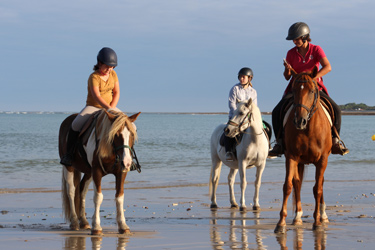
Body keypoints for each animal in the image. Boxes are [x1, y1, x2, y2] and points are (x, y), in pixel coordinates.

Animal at [276, 67, 332, 233]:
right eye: (294, 90)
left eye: (312, 91)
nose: (299, 121)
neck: (308, 129)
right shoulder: (292, 157)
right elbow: (288, 186)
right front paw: (281, 223)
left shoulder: (322, 159)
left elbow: (317, 188)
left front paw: (317, 222)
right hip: (299, 162)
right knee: (297, 183)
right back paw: (297, 217)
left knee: (320, 183)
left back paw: (323, 215)